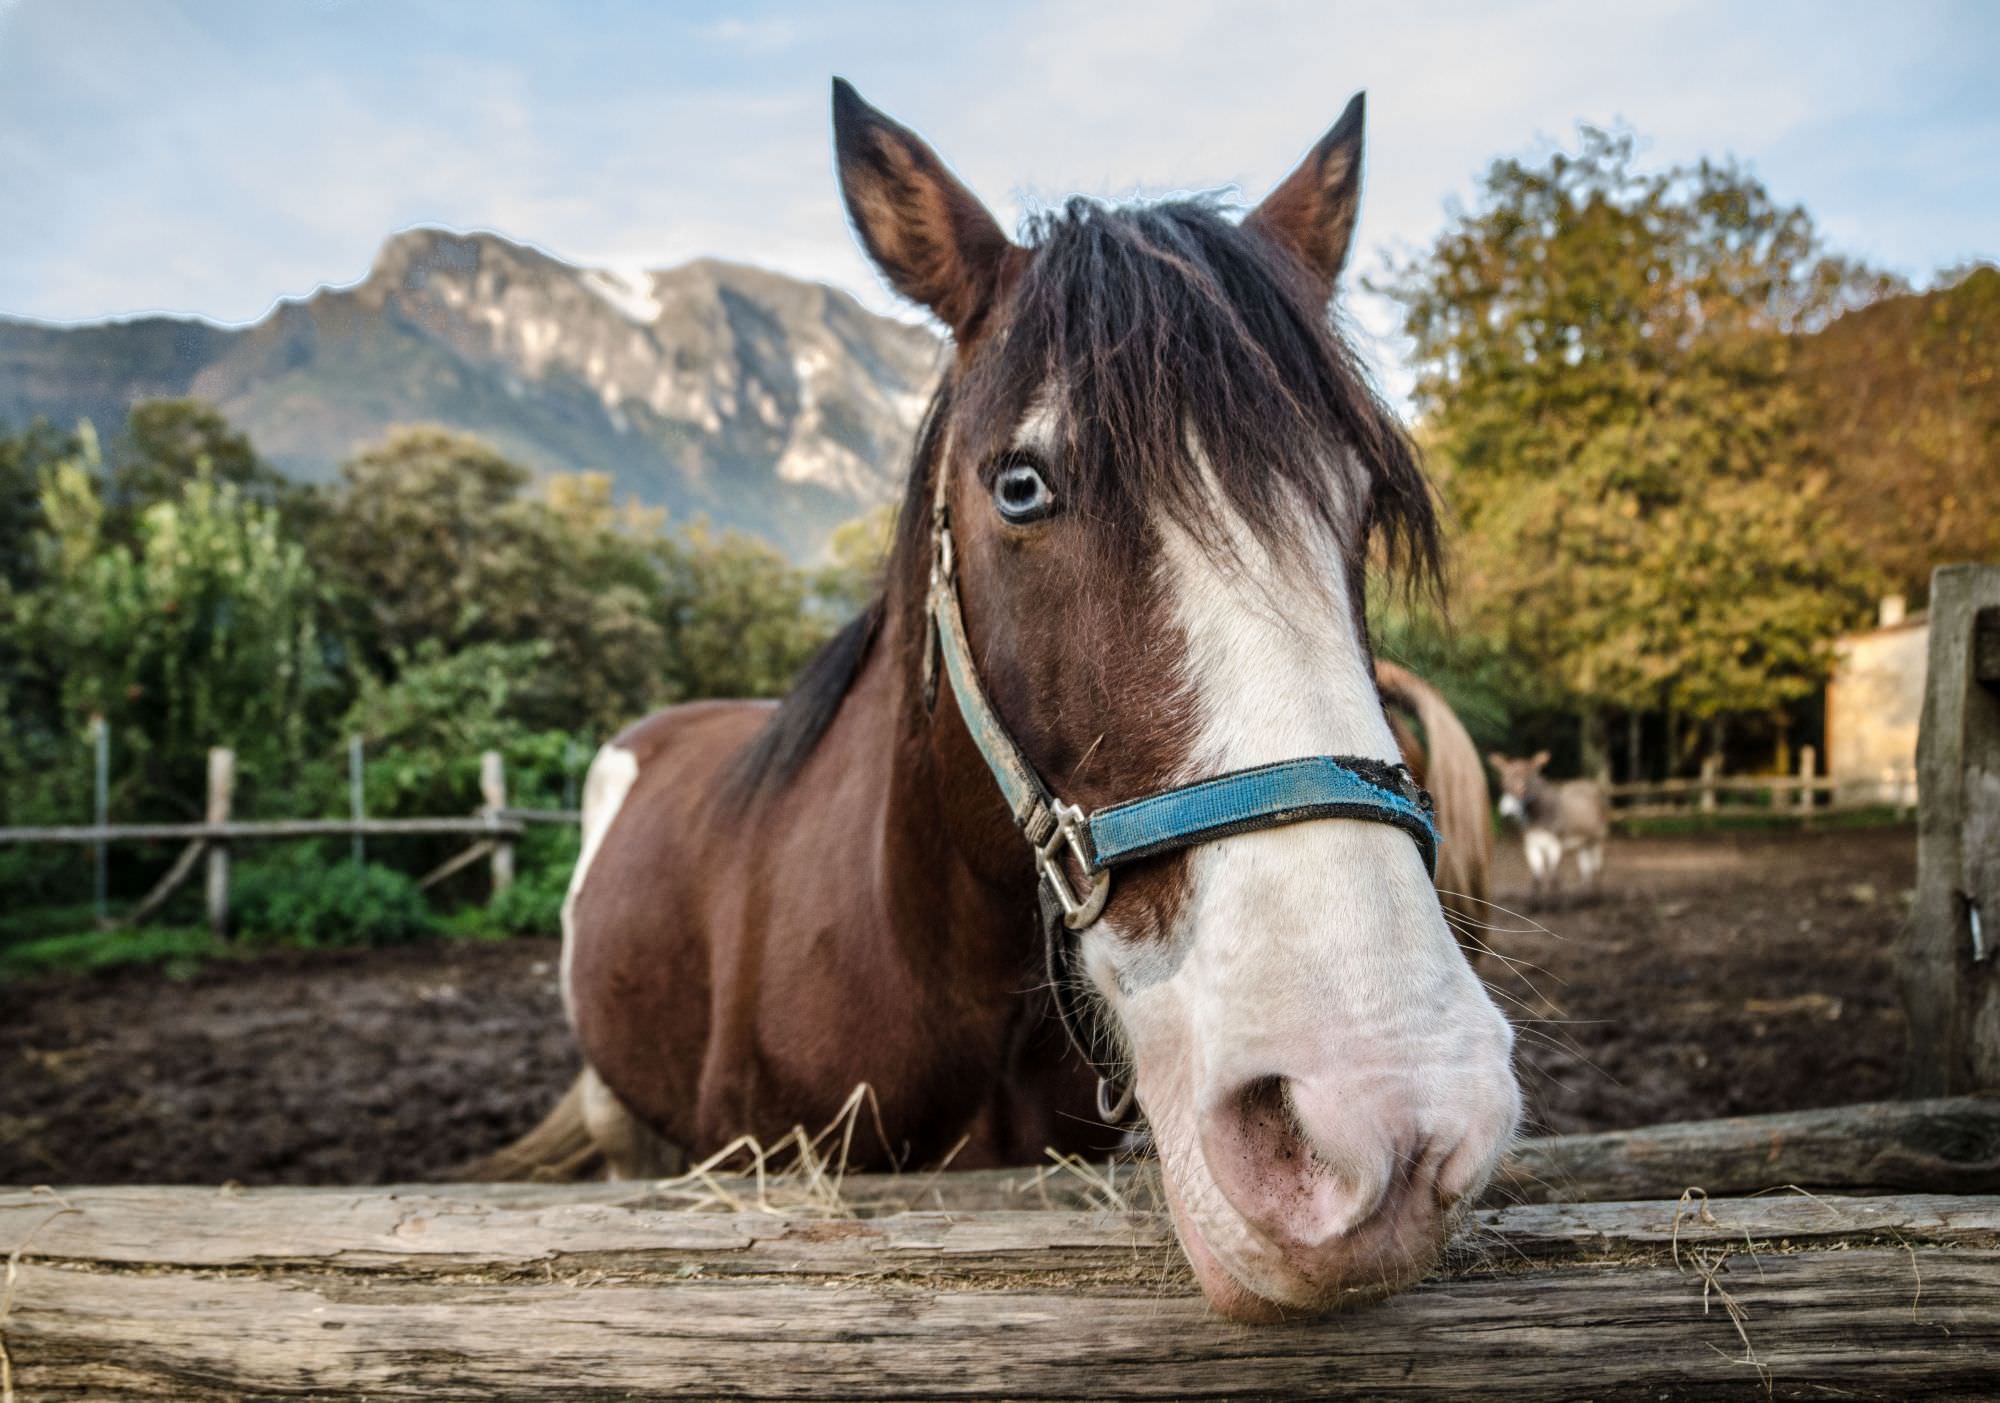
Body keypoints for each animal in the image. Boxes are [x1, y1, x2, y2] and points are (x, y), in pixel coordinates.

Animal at [1488, 751, 1608, 907]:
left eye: (1525, 785)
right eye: (1504, 783)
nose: (1507, 813)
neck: (1538, 816)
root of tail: (1591, 785)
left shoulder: (1555, 844)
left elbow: (1553, 877)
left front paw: (1555, 905)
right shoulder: (1532, 845)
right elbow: (1536, 878)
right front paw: (1533, 905)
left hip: (1598, 836)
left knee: (1598, 867)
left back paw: (1597, 899)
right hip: (1584, 840)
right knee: (1586, 868)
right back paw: (1586, 898)